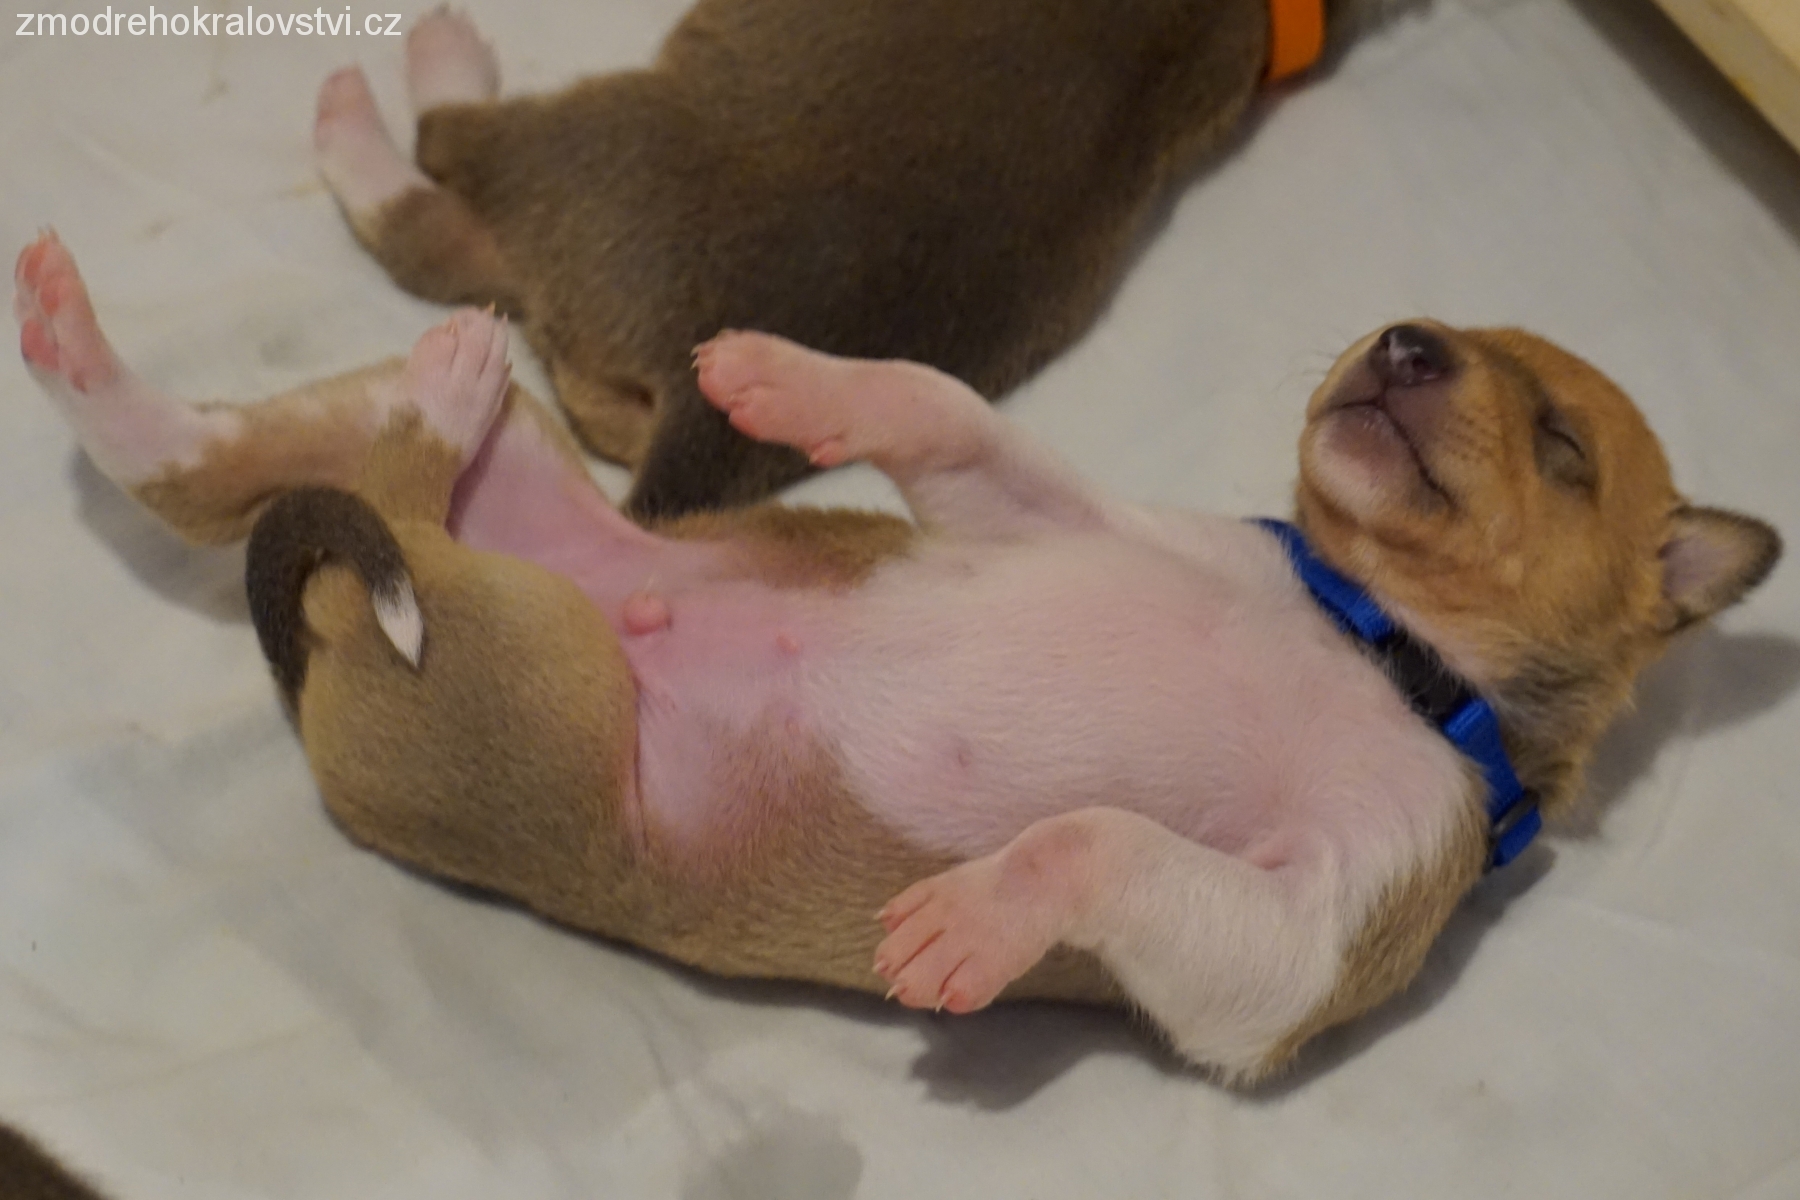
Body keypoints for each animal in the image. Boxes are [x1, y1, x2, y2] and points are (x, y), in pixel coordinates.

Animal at [17, 233, 1780, 1082]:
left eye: (1562, 445)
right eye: (1427, 331)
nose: (1401, 342)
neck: (1377, 641)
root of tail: (313, 653)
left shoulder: (1298, 942)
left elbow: (1097, 841)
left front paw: (979, 917)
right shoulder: (1049, 512)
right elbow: (944, 407)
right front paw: (794, 380)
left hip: (504, 654)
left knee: (359, 488)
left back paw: (416, 390)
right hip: (475, 561)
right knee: (224, 466)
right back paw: (101, 344)